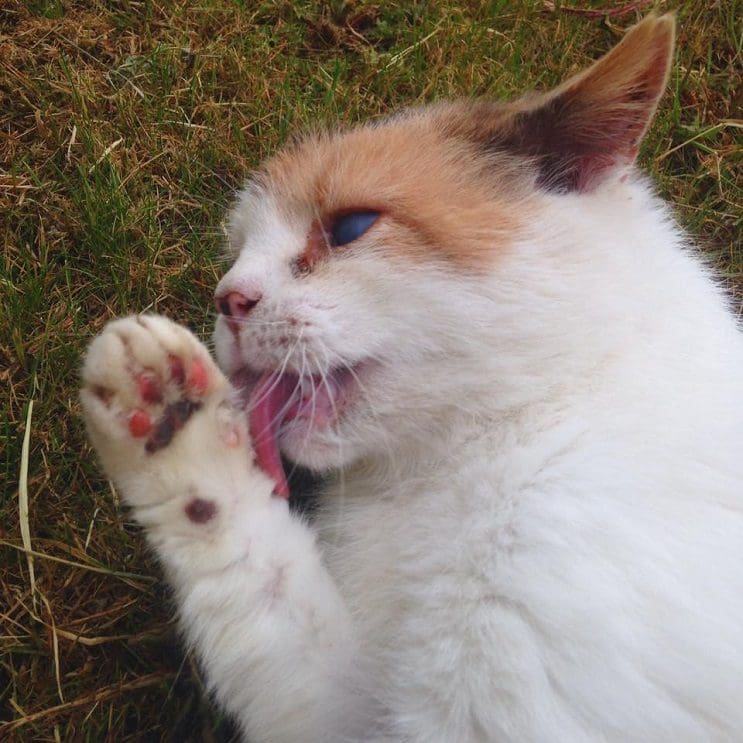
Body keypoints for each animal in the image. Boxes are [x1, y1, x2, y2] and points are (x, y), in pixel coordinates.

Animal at [81, 13, 743, 743]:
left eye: (350, 226)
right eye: (235, 252)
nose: (229, 299)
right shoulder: (345, 707)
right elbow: (260, 581)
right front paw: (168, 421)